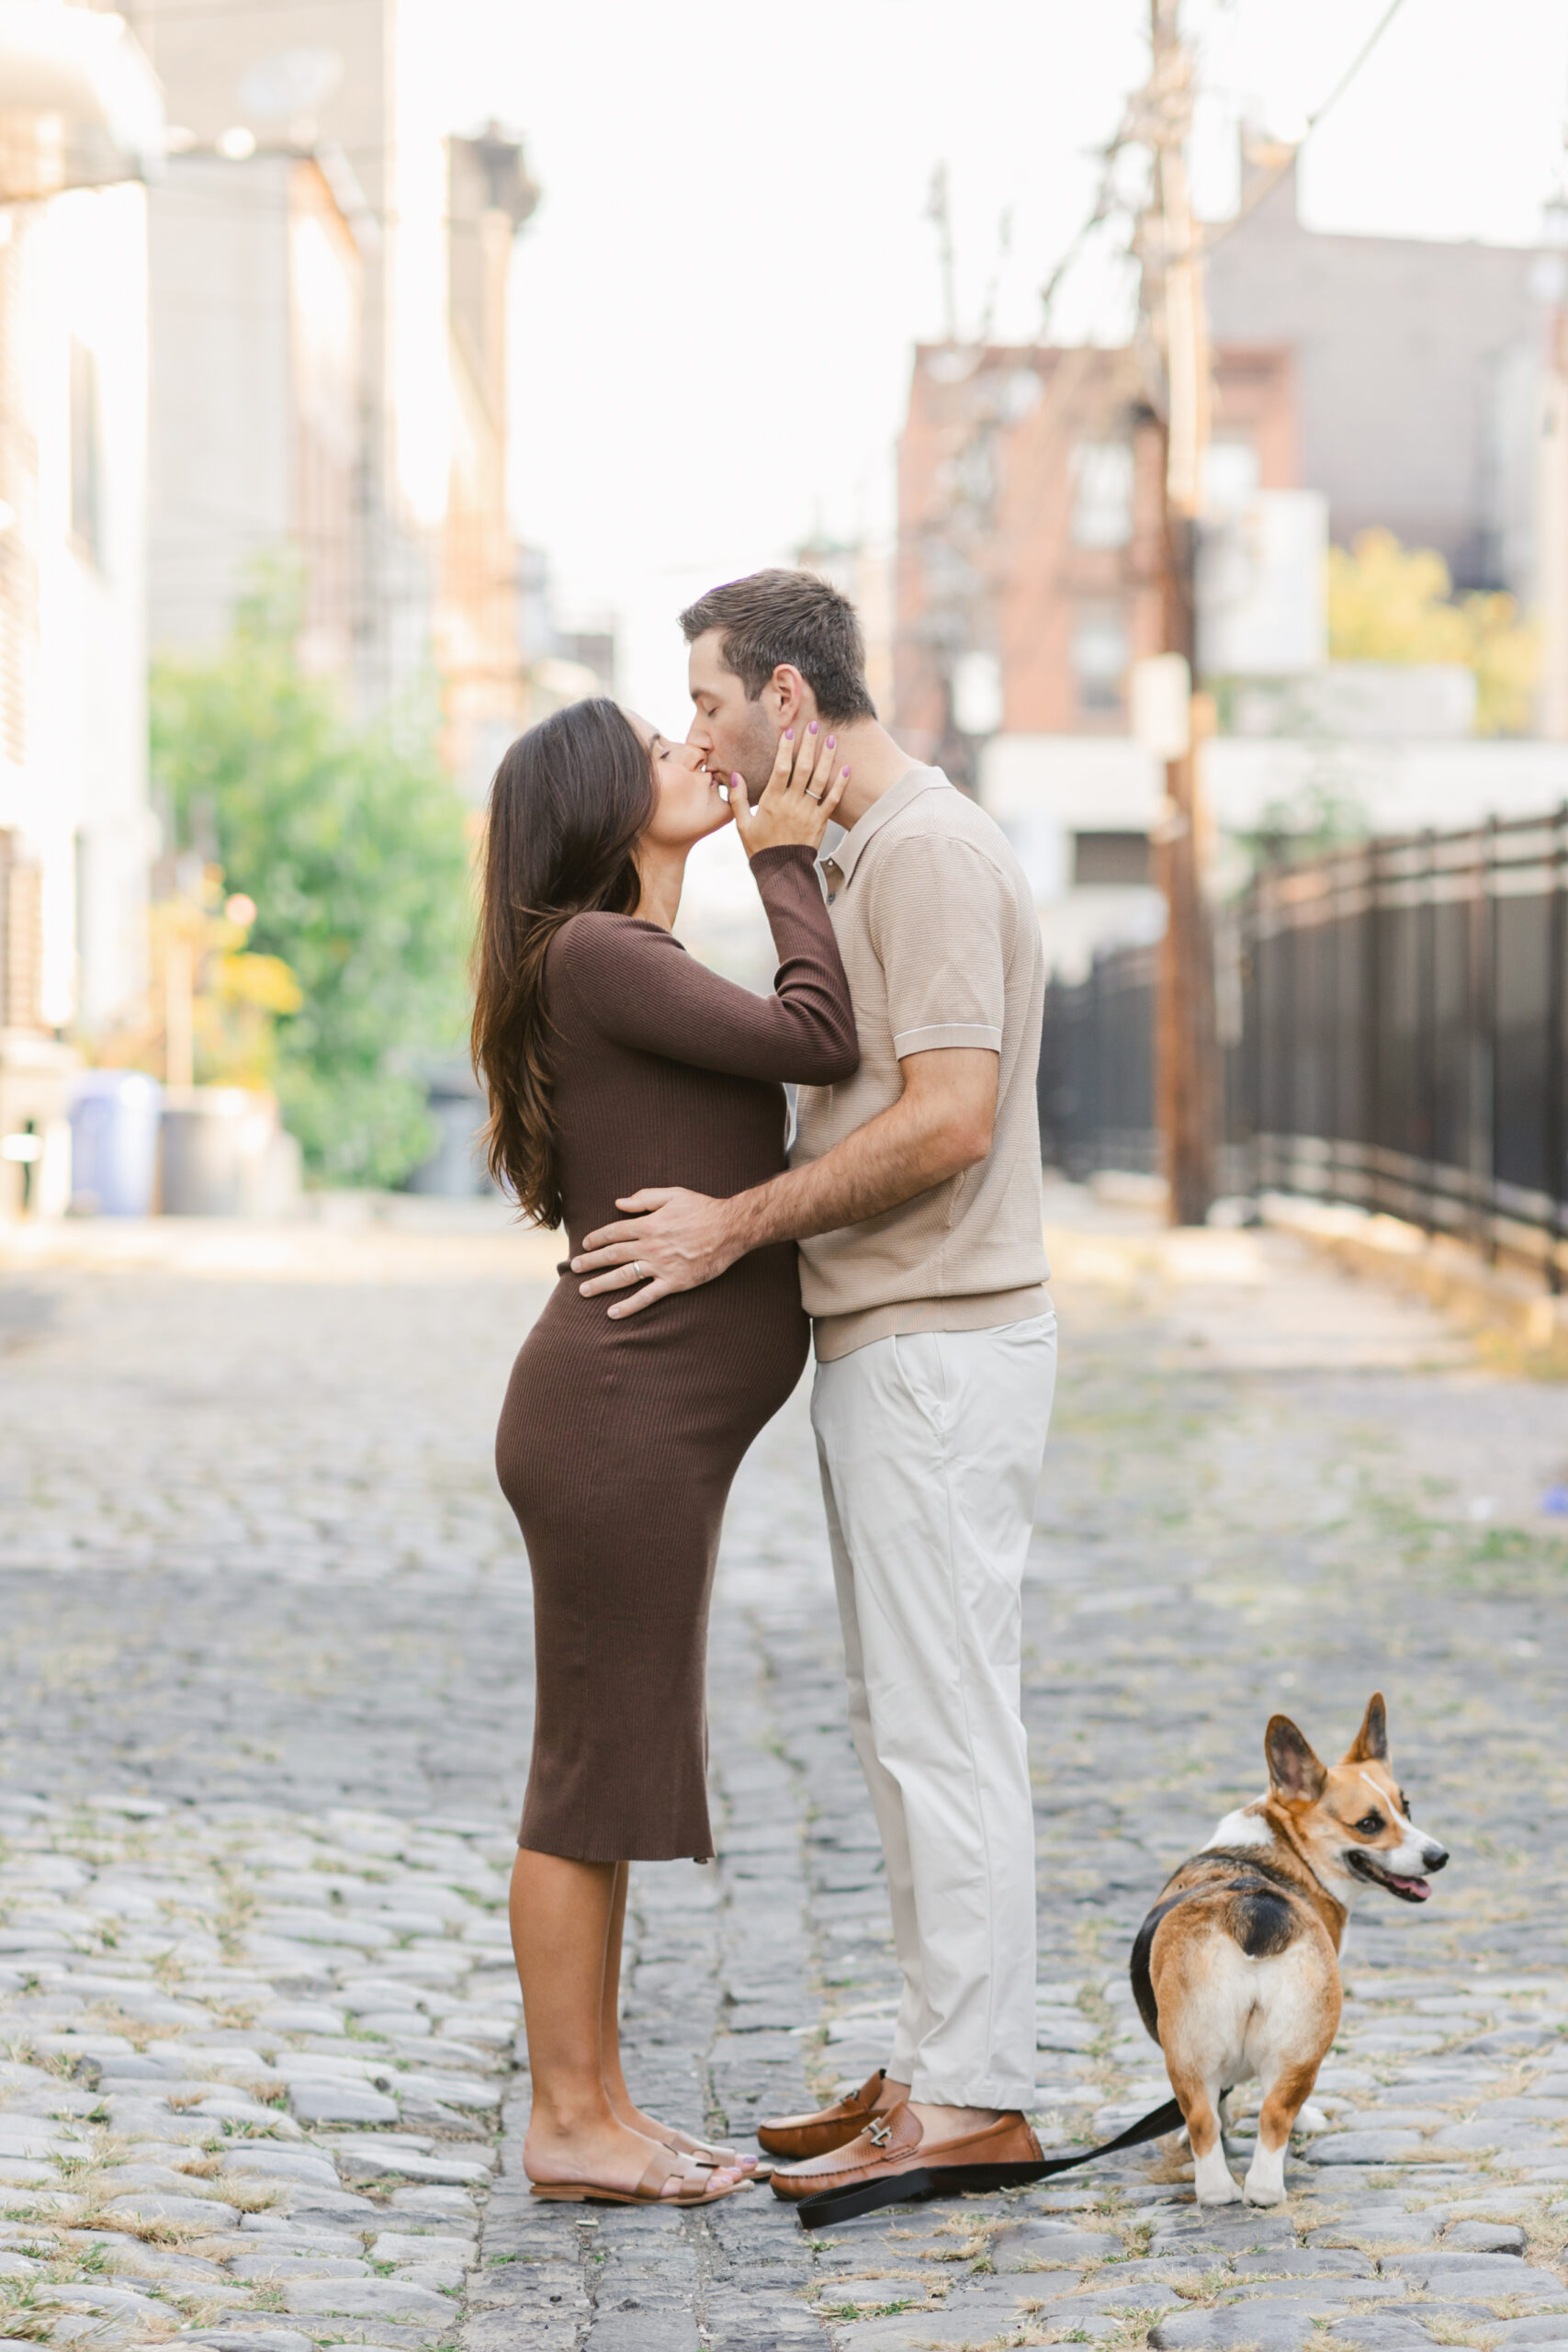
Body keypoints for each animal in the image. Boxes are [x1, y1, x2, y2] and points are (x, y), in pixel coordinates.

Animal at [1128, 1693, 1448, 2201]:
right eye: (1369, 1824)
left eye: (1407, 1808)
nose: (1439, 1857)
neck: (1282, 1850)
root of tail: (1255, 1909)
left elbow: (1219, 2105)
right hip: (1303, 2046)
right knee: (1274, 2113)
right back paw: (1262, 2188)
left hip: (1191, 2054)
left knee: (1211, 2118)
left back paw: (1225, 2192)